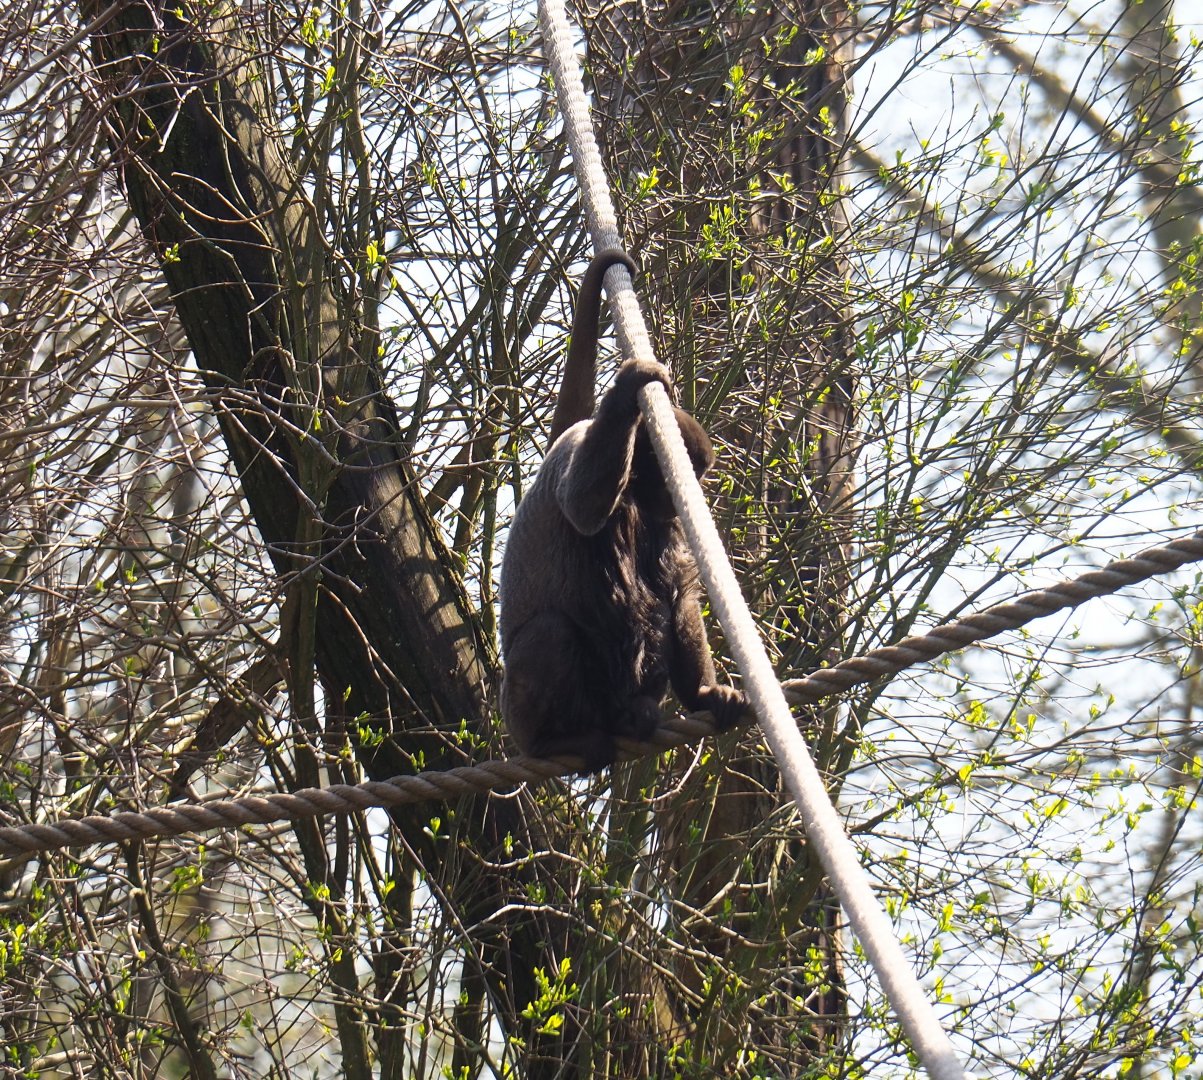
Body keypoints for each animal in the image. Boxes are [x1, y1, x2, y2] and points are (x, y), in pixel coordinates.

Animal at [498, 248, 746, 772]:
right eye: (679, 478)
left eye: (695, 476)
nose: (682, 496)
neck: (633, 492)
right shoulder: (578, 444)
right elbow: (581, 506)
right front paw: (629, 384)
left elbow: (679, 593)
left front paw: (703, 694)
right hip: (522, 716)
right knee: (551, 632)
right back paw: (559, 741)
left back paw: (635, 713)